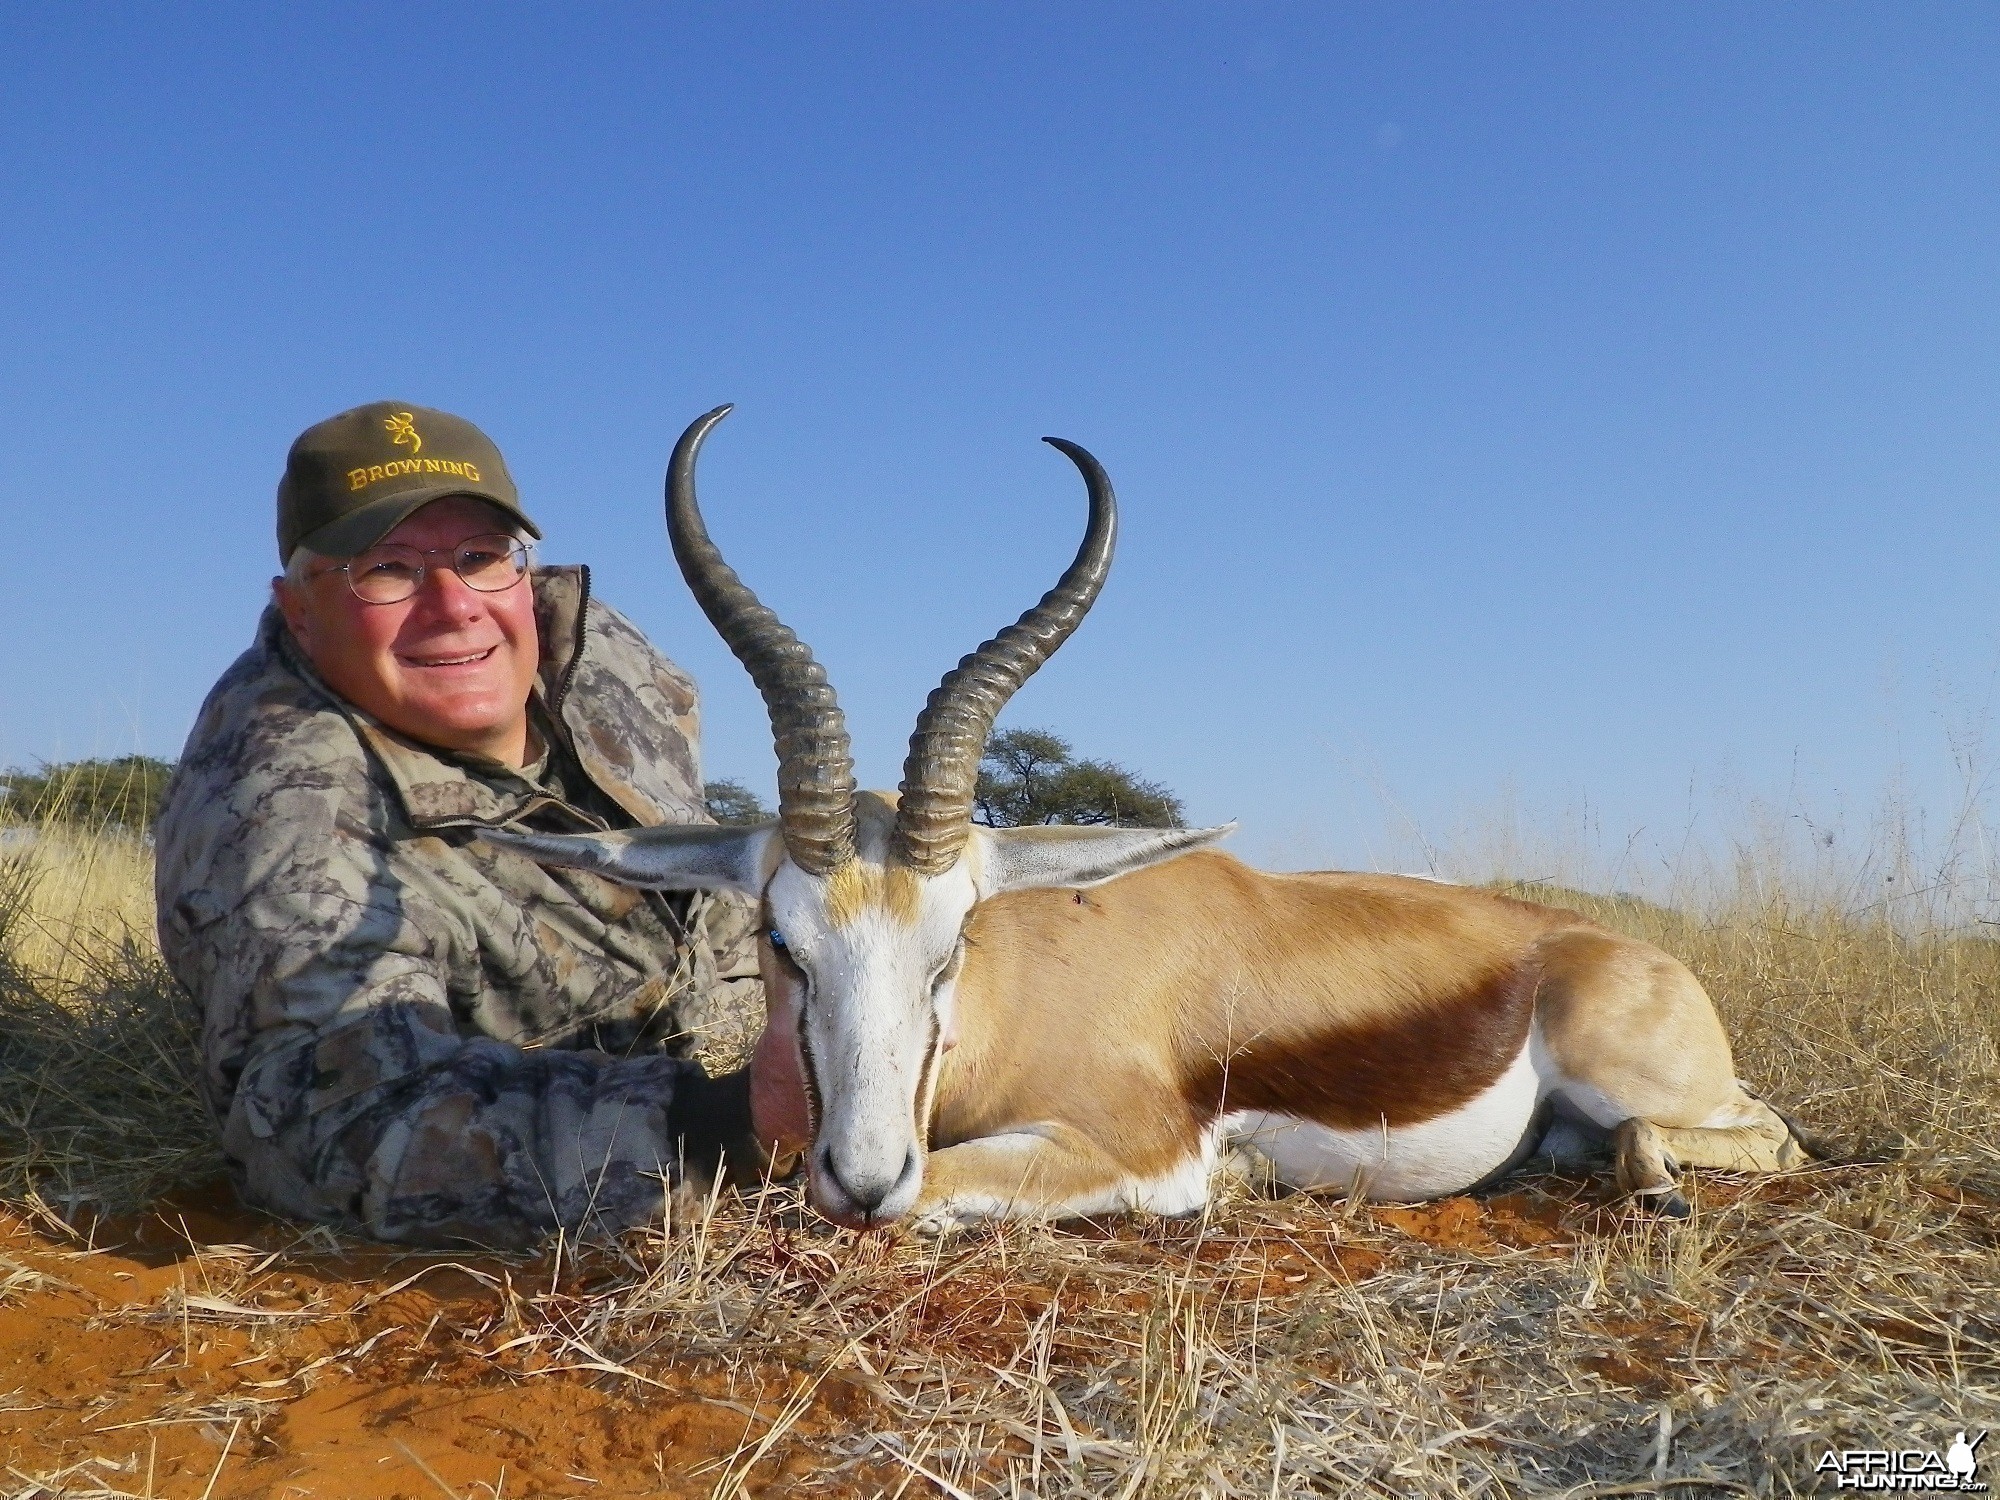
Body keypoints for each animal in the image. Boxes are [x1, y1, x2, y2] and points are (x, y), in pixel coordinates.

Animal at [484, 402, 1816, 1232]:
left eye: (956, 939)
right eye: (781, 941)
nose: (858, 1179)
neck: (1016, 999)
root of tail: (1610, 949)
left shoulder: (1133, 1154)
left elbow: (950, 1186)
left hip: (1650, 1084)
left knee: (1764, 1138)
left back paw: (1655, 1190)